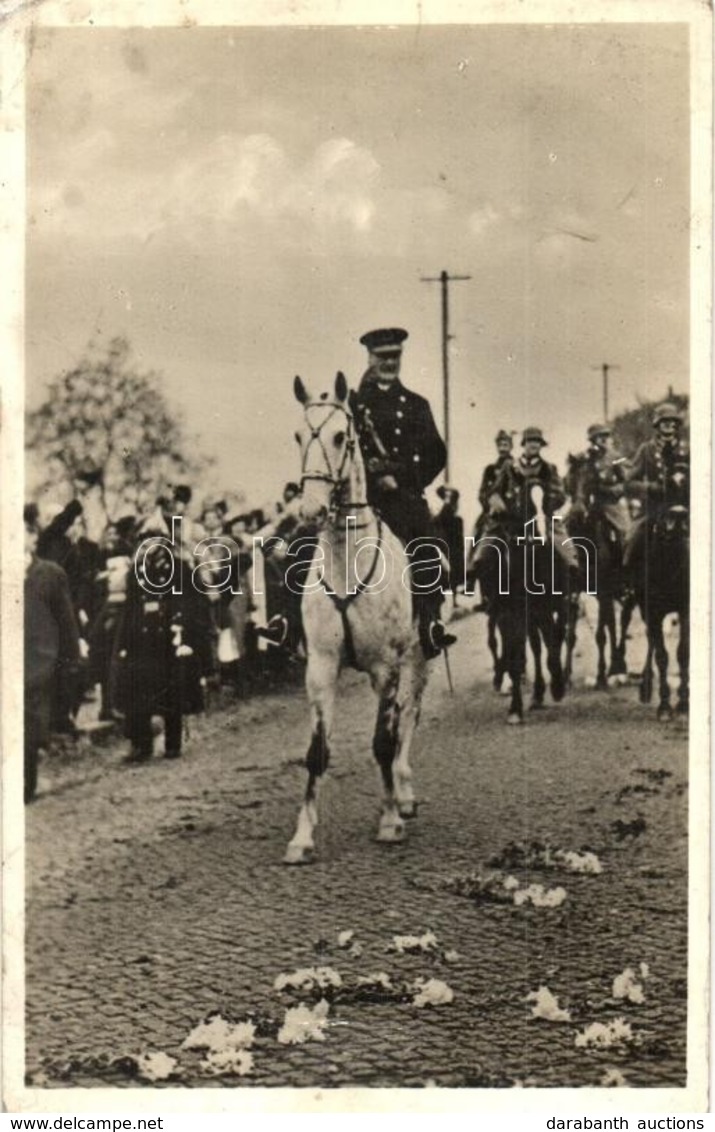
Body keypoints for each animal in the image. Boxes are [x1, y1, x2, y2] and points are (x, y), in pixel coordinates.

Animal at [283, 373, 429, 864]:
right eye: (297, 435)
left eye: (339, 436)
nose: (310, 510)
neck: (348, 559)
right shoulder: (321, 667)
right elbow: (316, 752)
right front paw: (302, 836)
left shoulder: (386, 666)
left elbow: (382, 742)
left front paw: (389, 821)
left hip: (416, 656)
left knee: (408, 714)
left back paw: (403, 793)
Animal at [633, 509, 687, 719]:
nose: (679, 515)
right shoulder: (653, 611)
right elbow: (662, 656)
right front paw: (664, 706)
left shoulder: (685, 608)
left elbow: (683, 652)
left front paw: (683, 704)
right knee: (653, 641)